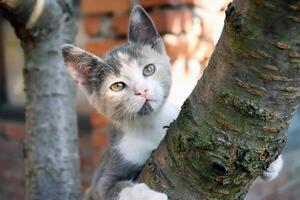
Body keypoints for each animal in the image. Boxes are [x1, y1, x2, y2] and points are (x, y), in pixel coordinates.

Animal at [61, 5, 177, 200]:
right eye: (117, 86)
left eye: (149, 69)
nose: (142, 91)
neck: (150, 124)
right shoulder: (103, 177)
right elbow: (111, 187)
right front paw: (145, 194)